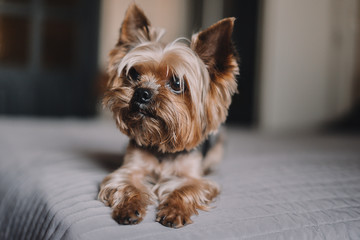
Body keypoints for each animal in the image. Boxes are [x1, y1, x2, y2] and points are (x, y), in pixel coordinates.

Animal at [98, 3, 239, 228]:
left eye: (176, 82)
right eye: (134, 74)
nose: (142, 92)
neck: (161, 143)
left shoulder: (193, 177)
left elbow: (186, 189)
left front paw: (174, 210)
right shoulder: (130, 169)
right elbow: (126, 184)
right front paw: (129, 207)